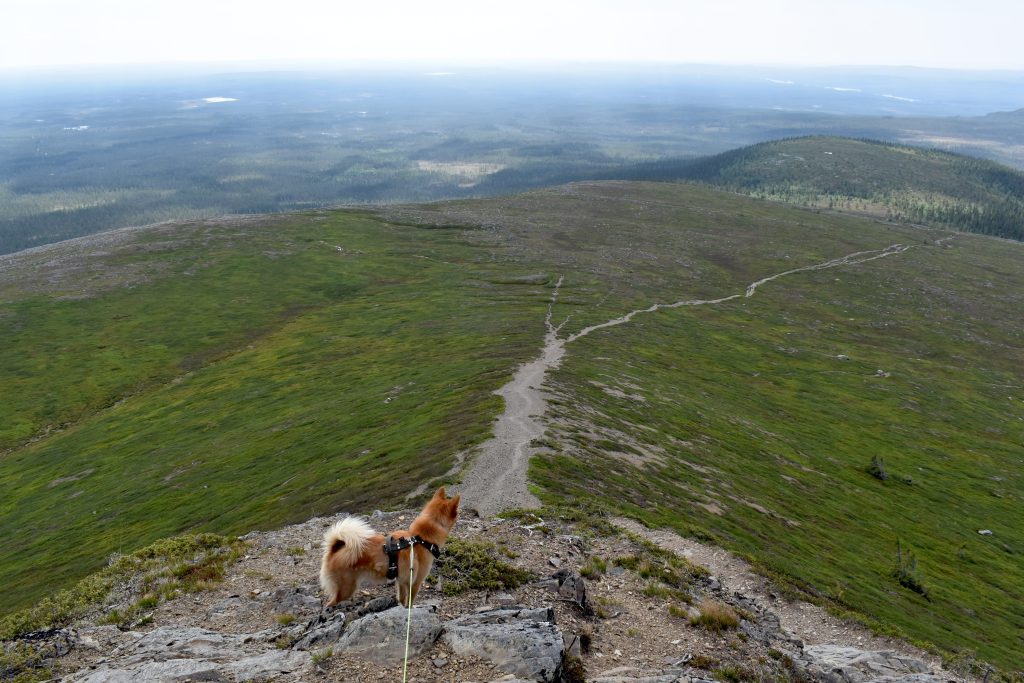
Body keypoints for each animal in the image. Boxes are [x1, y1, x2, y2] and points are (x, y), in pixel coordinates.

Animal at [319, 485, 460, 610]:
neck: (421, 538)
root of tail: (334, 551)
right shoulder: (415, 583)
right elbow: (410, 601)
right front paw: (410, 608)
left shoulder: (402, 581)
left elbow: (402, 598)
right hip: (346, 588)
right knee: (331, 602)